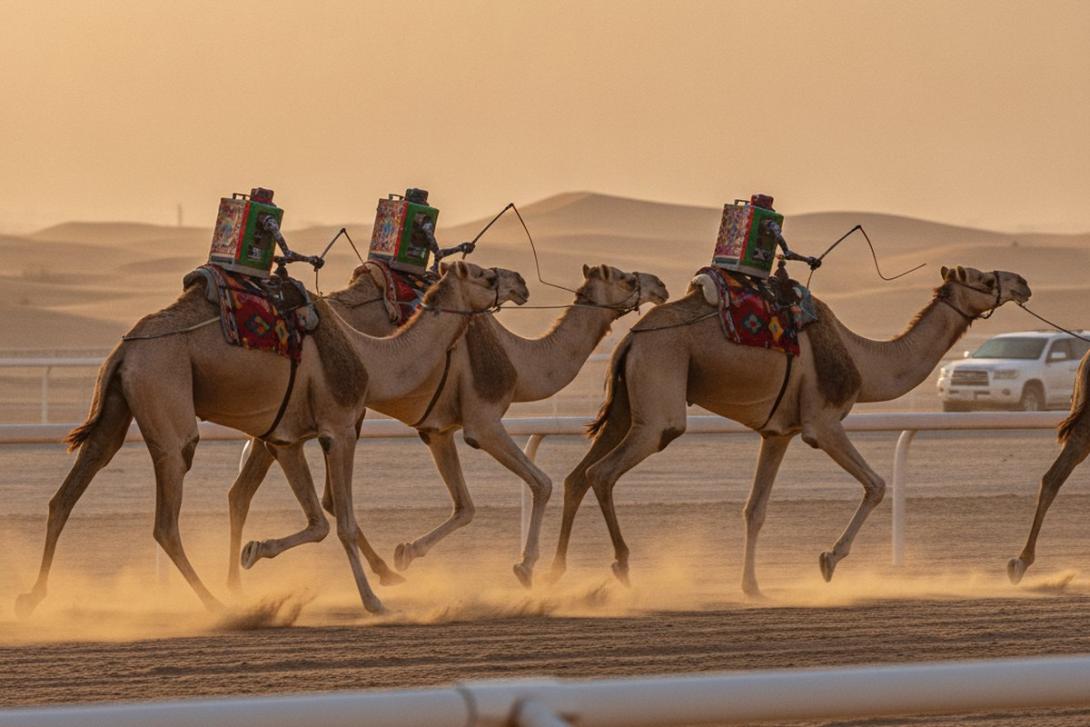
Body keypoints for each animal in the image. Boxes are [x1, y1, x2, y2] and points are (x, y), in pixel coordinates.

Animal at [16, 261, 527, 617]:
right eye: (486, 274)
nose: (520, 282)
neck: (368, 356)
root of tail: (122, 351)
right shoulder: (339, 428)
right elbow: (341, 521)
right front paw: (374, 601)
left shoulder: (286, 438)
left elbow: (319, 522)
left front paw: (253, 552)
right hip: (166, 403)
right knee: (166, 515)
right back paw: (216, 605)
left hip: (117, 409)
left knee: (67, 493)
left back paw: (32, 597)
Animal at [228, 263, 669, 589]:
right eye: (628, 279)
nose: (661, 285)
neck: (518, 361)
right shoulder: (483, 421)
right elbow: (541, 482)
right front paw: (525, 568)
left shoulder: (437, 429)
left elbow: (466, 506)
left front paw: (406, 552)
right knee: (259, 491)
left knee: (255, 491)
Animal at [550, 265, 1032, 595]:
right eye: (983, 278)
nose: (1021, 283)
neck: (863, 361)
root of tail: (630, 339)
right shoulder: (823, 423)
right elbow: (876, 484)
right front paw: (828, 560)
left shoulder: (778, 432)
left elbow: (755, 509)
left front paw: (751, 586)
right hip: (659, 403)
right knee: (603, 472)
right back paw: (622, 567)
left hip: (624, 409)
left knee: (576, 476)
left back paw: (555, 572)